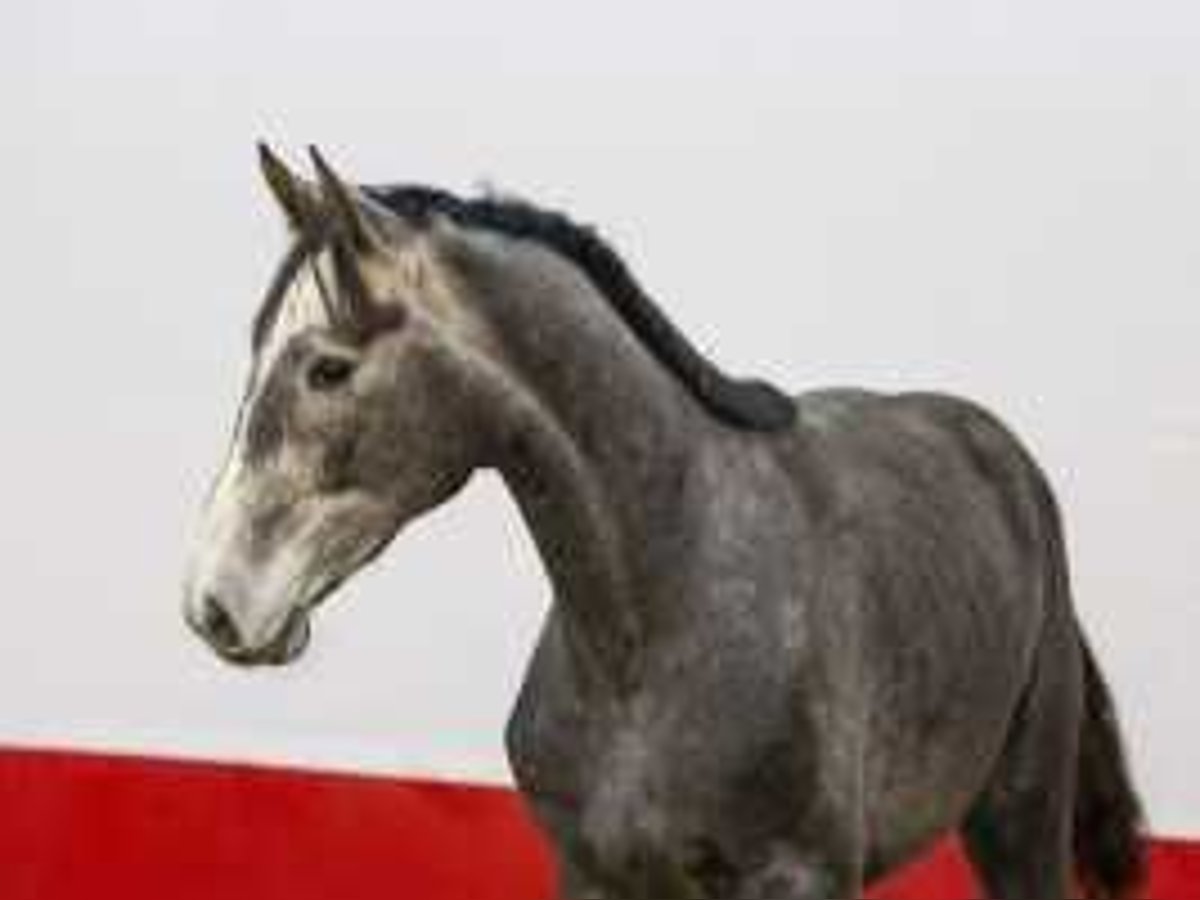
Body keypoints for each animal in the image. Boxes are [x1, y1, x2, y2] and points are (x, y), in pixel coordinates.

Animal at [182, 144, 1147, 897]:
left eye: (328, 369)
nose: (214, 604)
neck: (657, 625)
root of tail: (1000, 453)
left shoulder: (798, 878)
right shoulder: (594, 873)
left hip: (1019, 817)